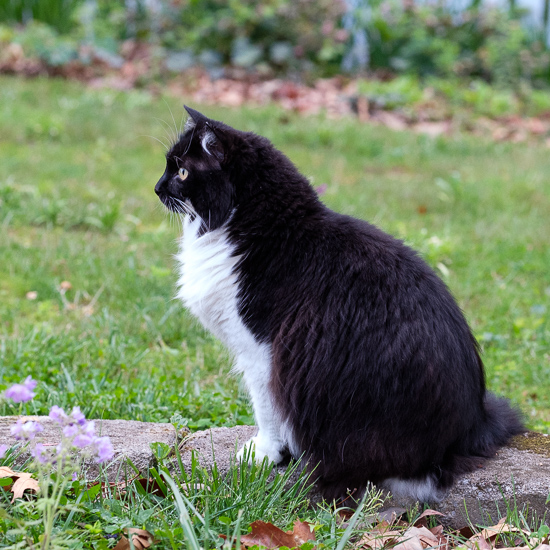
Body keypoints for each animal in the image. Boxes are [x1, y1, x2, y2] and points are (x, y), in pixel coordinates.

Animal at [156, 106, 528, 504]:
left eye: (182, 172)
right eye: (168, 166)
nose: (157, 188)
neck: (259, 228)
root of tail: (471, 429)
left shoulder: (261, 351)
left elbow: (266, 410)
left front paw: (267, 453)